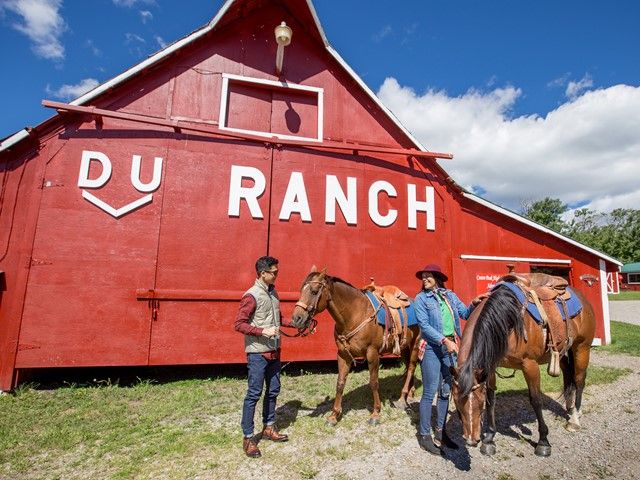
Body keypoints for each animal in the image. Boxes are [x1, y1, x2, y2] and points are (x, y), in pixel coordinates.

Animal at [292, 268, 422, 426]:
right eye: (301, 290)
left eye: (314, 291)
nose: (296, 319)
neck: (354, 315)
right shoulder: (343, 355)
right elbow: (340, 383)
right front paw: (334, 416)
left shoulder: (372, 354)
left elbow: (374, 382)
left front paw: (375, 413)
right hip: (403, 347)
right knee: (409, 366)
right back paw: (410, 393)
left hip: (415, 343)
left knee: (411, 368)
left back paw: (402, 398)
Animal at [450, 282, 596, 458]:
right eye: (456, 402)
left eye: (479, 402)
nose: (471, 440)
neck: (508, 322)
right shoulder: (490, 367)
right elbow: (492, 399)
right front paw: (489, 439)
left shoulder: (530, 365)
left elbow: (536, 400)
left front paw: (543, 442)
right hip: (562, 353)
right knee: (569, 377)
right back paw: (570, 408)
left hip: (582, 348)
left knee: (579, 380)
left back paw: (574, 418)